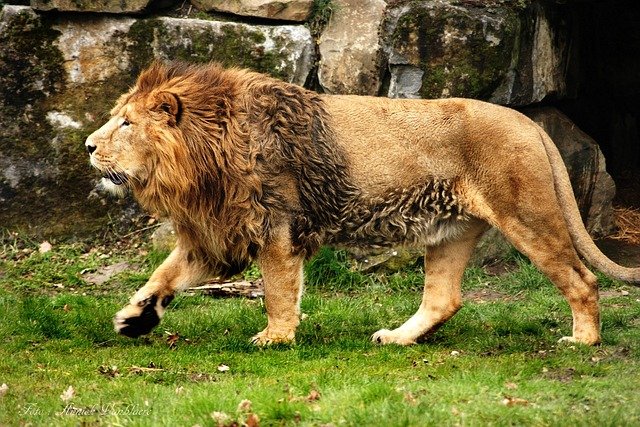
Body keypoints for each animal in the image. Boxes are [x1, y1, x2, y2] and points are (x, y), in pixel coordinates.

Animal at [85, 61, 640, 346]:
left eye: (126, 123)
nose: (89, 145)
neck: (201, 158)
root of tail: (528, 122)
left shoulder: (277, 228)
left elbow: (278, 292)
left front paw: (275, 338)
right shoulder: (217, 235)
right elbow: (163, 275)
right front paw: (134, 319)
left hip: (527, 215)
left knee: (582, 279)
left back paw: (583, 341)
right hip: (452, 232)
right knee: (443, 298)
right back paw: (396, 338)